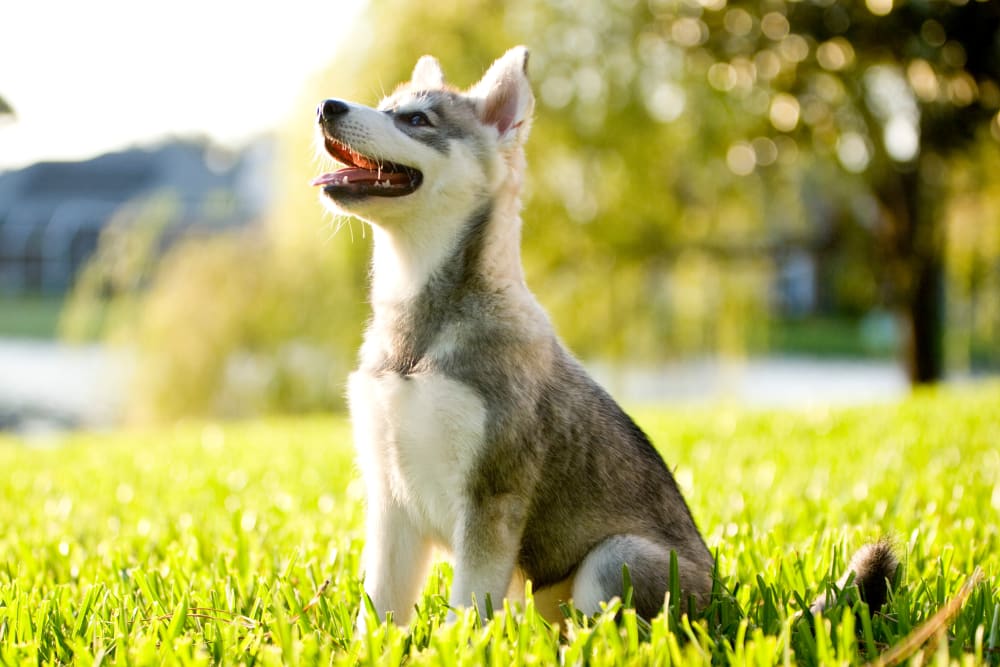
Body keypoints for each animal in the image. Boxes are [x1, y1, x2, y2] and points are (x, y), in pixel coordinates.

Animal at [312, 45, 900, 628]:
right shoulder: (390, 500)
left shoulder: (491, 497)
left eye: (416, 120)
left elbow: (468, 612)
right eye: (387, 107)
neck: (418, 333)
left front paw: (458, 645)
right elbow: (378, 611)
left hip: (616, 557)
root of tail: (730, 610)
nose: (326, 105)